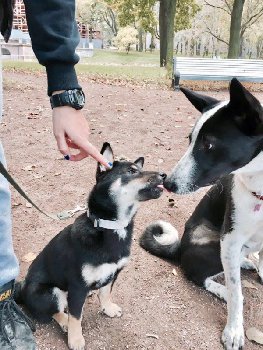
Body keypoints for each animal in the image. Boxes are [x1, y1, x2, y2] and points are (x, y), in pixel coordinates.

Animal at [14, 142, 165, 350]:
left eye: (139, 169)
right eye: (131, 171)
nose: (164, 175)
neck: (110, 226)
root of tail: (21, 291)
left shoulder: (112, 273)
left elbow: (106, 293)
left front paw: (108, 308)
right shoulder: (78, 286)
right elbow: (76, 317)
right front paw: (76, 339)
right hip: (50, 292)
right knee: (54, 312)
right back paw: (65, 322)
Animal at [141, 79, 263, 350]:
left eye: (208, 145)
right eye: (190, 139)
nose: (168, 184)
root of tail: (179, 248)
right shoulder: (230, 239)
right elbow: (237, 295)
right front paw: (234, 330)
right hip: (214, 247)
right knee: (200, 276)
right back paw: (224, 289)